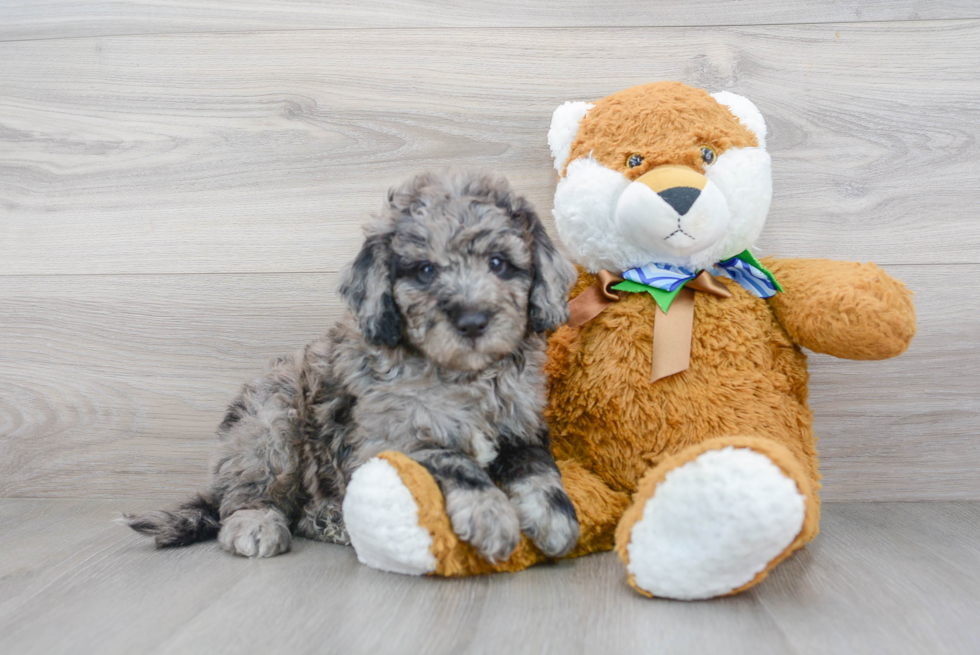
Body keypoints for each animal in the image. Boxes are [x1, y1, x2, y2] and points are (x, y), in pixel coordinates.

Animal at [125, 170, 580, 564]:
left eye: (499, 263)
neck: (465, 374)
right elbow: (453, 459)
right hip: (268, 422)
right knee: (247, 496)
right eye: (425, 270)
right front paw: (491, 515)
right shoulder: (390, 437)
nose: (472, 321)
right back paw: (258, 523)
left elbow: (539, 469)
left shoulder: (522, 424)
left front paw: (557, 519)